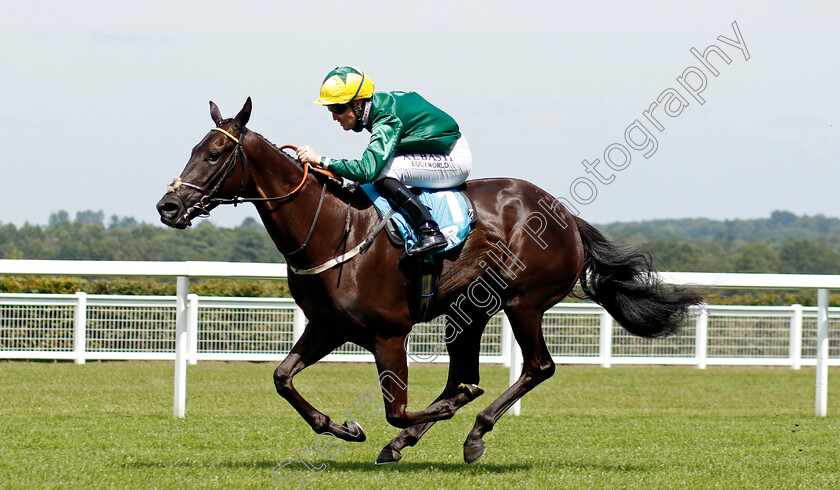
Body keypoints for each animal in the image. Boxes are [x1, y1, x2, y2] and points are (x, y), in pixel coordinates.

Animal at [156, 98, 704, 464]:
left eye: (213, 155)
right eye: (193, 148)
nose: (168, 206)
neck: (332, 228)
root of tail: (567, 217)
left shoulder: (388, 334)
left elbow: (398, 409)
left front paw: (399, 426)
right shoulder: (328, 326)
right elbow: (283, 378)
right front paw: (344, 427)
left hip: (523, 303)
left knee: (536, 367)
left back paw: (473, 433)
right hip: (470, 311)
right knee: (465, 374)